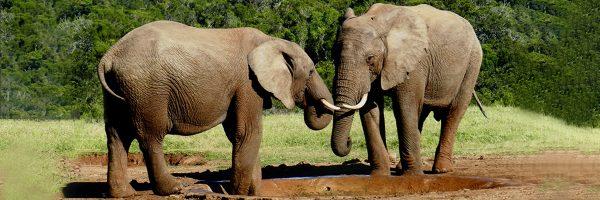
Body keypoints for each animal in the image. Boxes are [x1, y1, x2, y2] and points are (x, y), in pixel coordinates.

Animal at [96, 20, 336, 197]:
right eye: (311, 72)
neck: (270, 41)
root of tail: (109, 56)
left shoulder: (241, 87)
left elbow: (235, 132)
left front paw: (251, 191)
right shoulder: (248, 83)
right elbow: (247, 131)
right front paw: (238, 192)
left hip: (121, 91)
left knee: (116, 135)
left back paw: (124, 194)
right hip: (148, 88)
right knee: (151, 136)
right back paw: (175, 188)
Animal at [328, 3, 488, 177]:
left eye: (369, 59)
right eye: (334, 56)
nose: (349, 141)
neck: (380, 22)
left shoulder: (414, 63)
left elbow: (404, 107)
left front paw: (413, 175)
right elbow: (371, 111)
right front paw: (380, 175)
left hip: (472, 64)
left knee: (453, 113)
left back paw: (442, 170)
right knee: (421, 114)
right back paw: (401, 168)